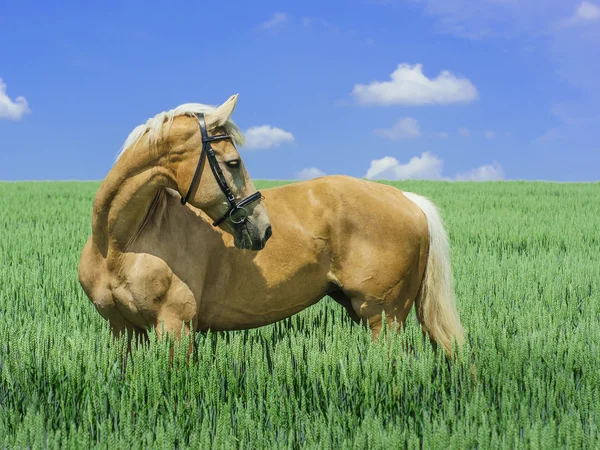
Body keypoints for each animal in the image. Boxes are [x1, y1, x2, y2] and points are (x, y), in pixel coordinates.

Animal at [78, 94, 464, 358]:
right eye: (233, 163)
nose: (262, 228)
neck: (119, 244)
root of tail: (407, 199)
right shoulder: (123, 330)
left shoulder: (175, 327)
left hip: (384, 317)